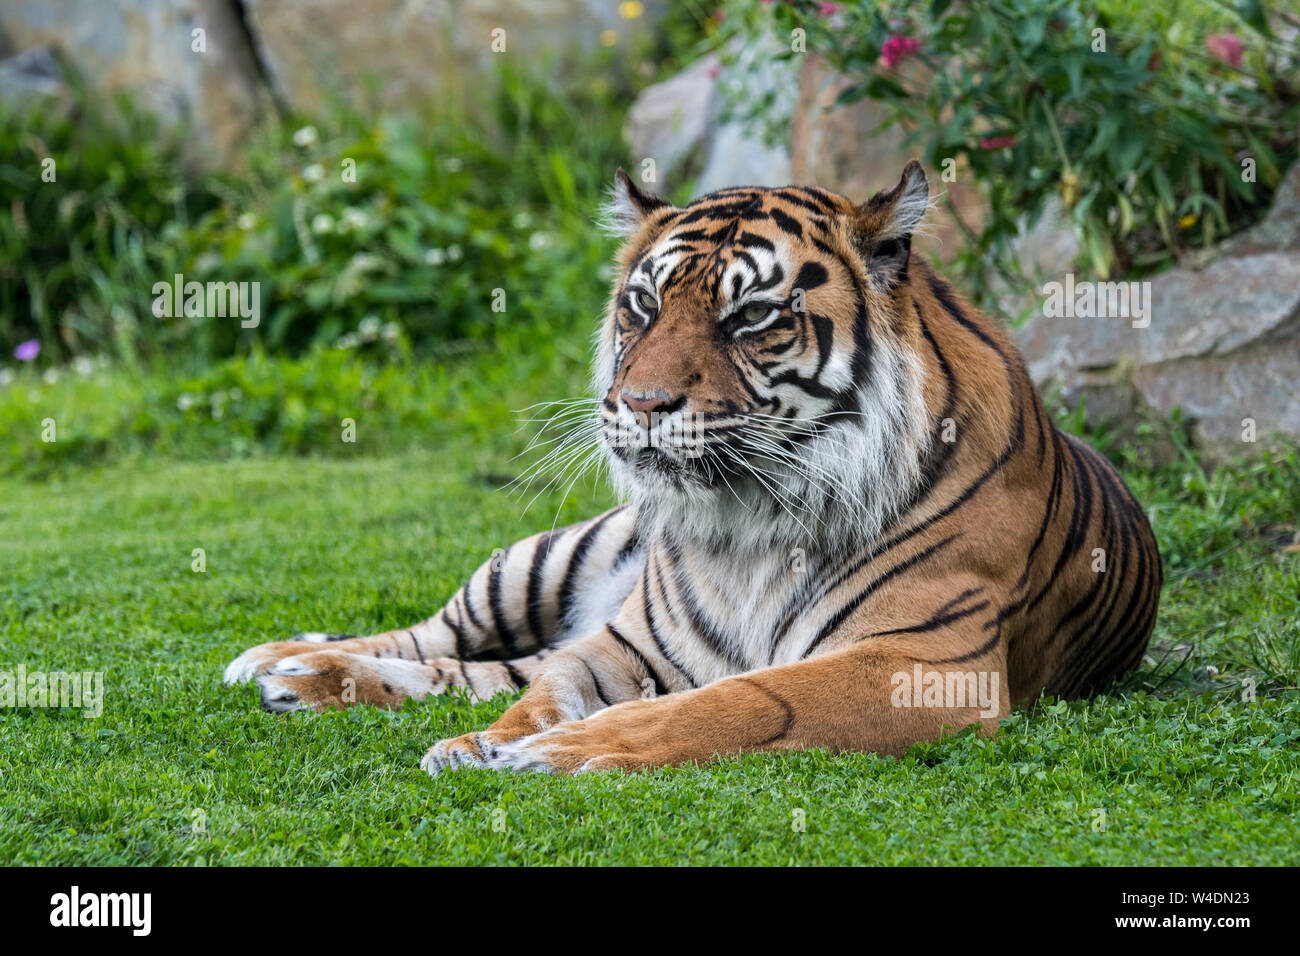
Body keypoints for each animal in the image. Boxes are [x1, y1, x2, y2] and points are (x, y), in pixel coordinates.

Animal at [220, 162, 1159, 780]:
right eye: (642, 304)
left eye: (750, 318)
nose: (640, 403)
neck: (754, 522)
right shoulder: (625, 641)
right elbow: (544, 687)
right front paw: (486, 741)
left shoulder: (924, 664)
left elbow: (736, 702)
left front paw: (557, 751)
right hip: (539, 562)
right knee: (439, 639)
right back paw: (283, 662)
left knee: (473, 667)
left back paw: (295, 680)